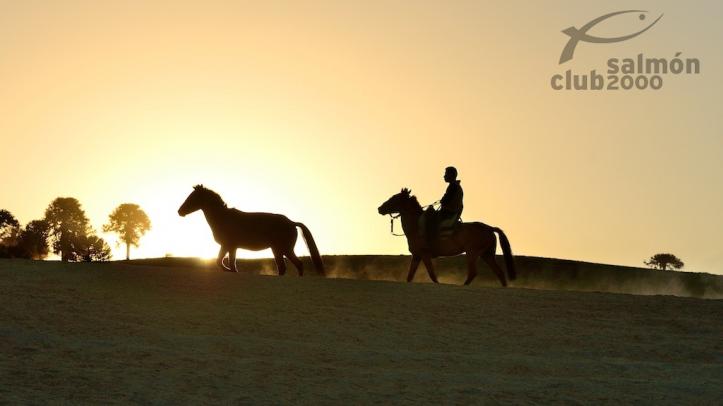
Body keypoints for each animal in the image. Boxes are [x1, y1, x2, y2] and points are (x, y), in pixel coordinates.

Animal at [178, 185, 324, 276]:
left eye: (193, 197)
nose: (180, 211)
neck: (223, 218)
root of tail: (291, 222)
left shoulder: (229, 246)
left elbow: (226, 263)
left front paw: (232, 271)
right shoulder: (229, 247)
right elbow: (223, 262)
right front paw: (231, 271)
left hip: (284, 249)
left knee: (297, 265)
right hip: (277, 250)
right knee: (284, 267)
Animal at [378, 188, 515, 286]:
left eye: (394, 198)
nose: (380, 208)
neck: (416, 226)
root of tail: (490, 228)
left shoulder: (425, 254)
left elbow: (432, 275)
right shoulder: (416, 256)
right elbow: (409, 277)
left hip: (472, 253)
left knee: (473, 273)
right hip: (487, 254)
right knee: (499, 272)